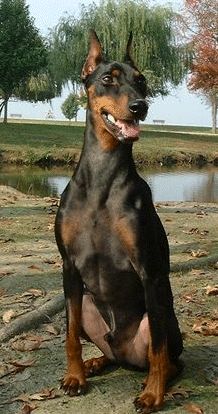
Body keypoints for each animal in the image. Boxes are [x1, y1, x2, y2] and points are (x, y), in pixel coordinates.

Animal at [55, 30, 183, 412]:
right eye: (108, 79)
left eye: (141, 81)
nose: (141, 106)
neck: (101, 177)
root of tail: (123, 352)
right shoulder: (68, 266)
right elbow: (70, 334)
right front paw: (74, 376)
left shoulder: (149, 269)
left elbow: (158, 349)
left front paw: (153, 394)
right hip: (85, 303)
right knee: (103, 348)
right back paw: (95, 363)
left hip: (164, 317)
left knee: (168, 356)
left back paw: (157, 379)